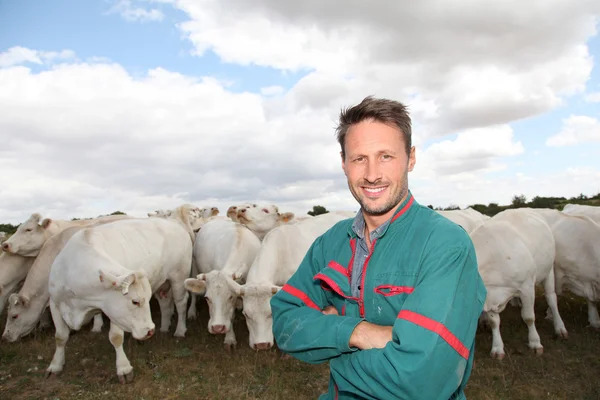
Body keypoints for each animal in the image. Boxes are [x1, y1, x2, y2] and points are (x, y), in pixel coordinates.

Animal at [45, 205, 195, 382]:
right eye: (135, 301)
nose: (150, 330)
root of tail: (174, 221)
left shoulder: (114, 310)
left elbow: (116, 337)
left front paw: (123, 368)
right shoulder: (55, 303)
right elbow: (60, 336)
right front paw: (55, 365)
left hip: (179, 277)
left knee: (181, 303)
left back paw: (180, 330)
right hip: (162, 282)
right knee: (165, 304)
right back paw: (164, 328)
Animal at [183, 219, 260, 350]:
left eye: (230, 297)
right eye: (207, 298)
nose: (217, 328)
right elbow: (231, 316)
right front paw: (230, 339)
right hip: (194, 264)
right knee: (193, 294)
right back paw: (192, 312)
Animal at [474, 209, 568, 360]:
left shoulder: (527, 287)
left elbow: (528, 317)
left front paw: (535, 343)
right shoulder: (490, 295)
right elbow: (494, 321)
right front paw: (497, 348)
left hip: (548, 269)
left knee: (551, 298)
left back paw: (560, 327)